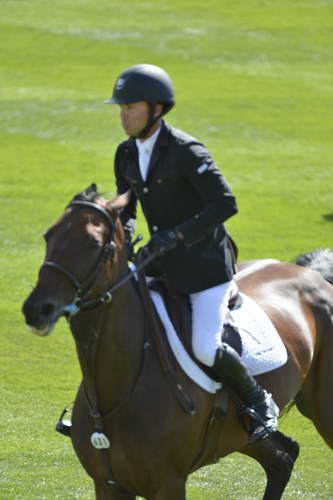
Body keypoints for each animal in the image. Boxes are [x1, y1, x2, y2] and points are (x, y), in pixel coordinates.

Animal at [22, 186, 332, 498]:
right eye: (49, 235)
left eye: (93, 242)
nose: (37, 309)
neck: (118, 388)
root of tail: (312, 274)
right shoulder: (107, 484)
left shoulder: (168, 483)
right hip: (242, 434)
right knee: (284, 456)